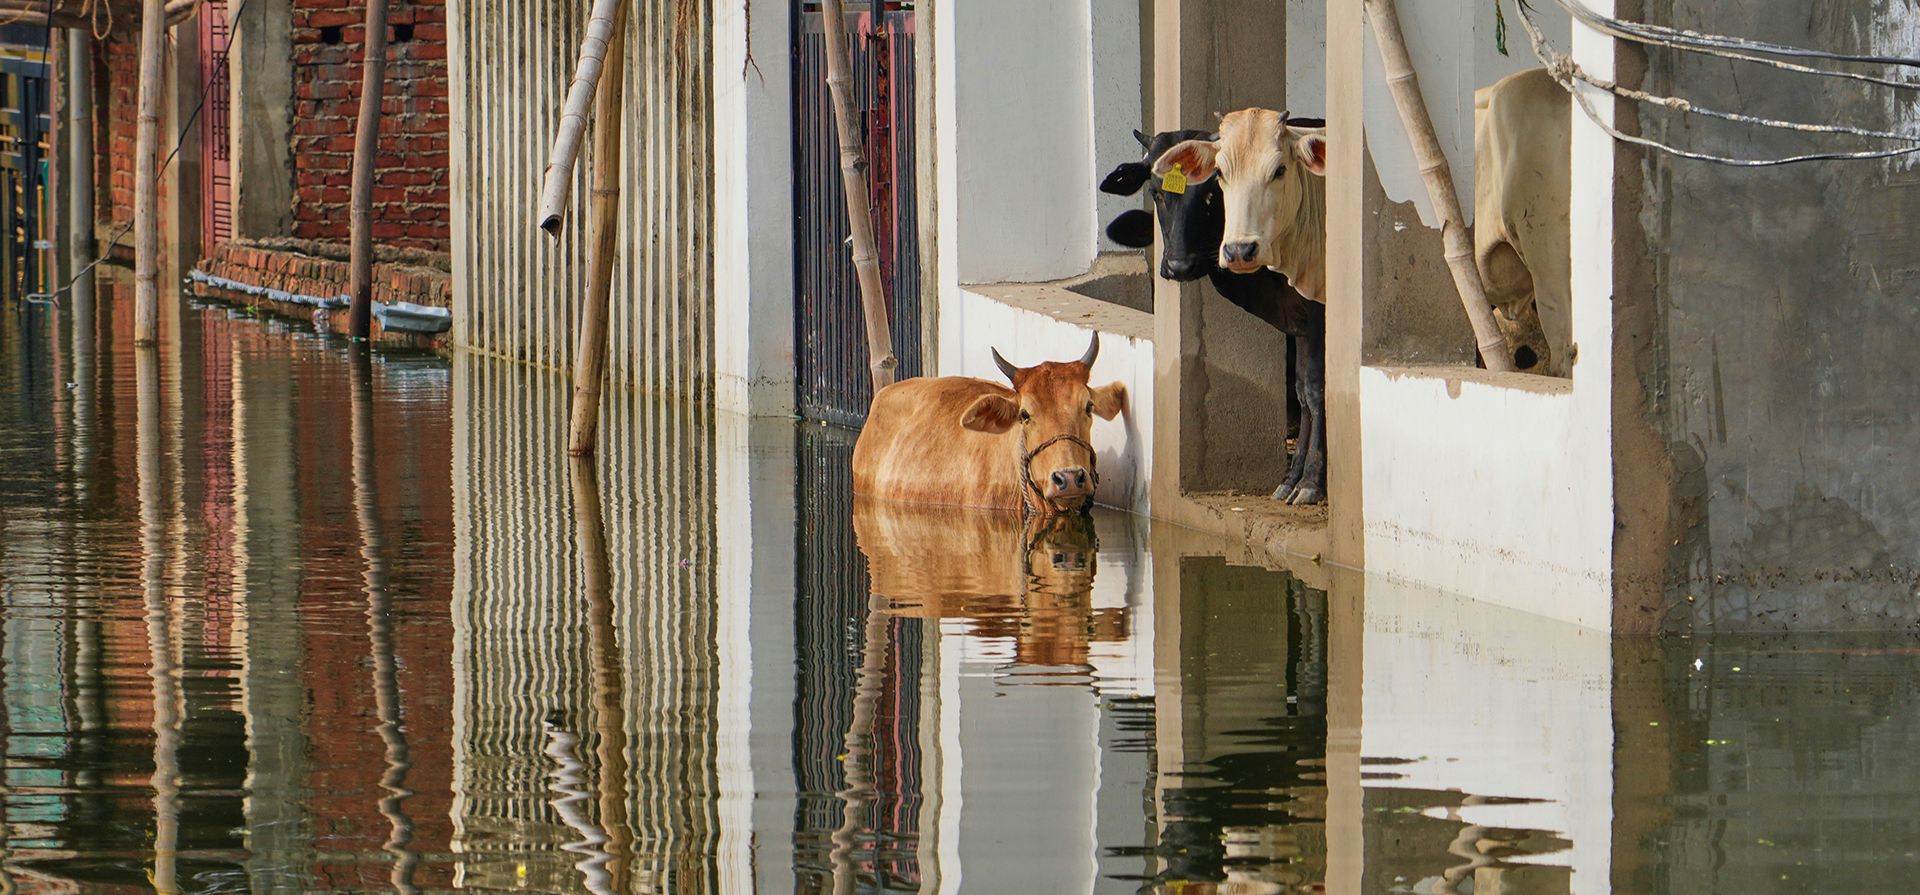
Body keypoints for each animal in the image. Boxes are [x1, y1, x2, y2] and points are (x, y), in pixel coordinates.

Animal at [1102, 127, 1329, 505]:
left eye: (1211, 193)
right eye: (1155, 192)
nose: (1178, 265)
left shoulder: (1319, 312)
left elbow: (1316, 387)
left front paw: (1312, 481)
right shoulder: (1298, 323)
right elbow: (1301, 392)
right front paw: (1292, 478)